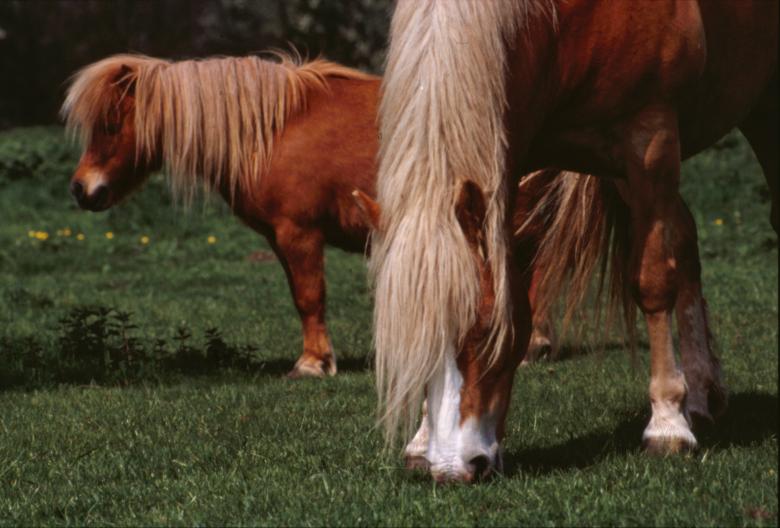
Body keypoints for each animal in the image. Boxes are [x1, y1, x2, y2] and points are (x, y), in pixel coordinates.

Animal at [61, 52, 557, 379]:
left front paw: (313, 363)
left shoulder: (299, 234)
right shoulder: (280, 239)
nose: (82, 189)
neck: (273, 129)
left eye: (110, 124)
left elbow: (309, 296)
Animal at [371, 0, 777, 482]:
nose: (454, 468)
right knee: (685, 240)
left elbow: (652, 282)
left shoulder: (651, 142)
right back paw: (703, 393)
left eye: (486, 330)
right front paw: (420, 439)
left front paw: (666, 426)